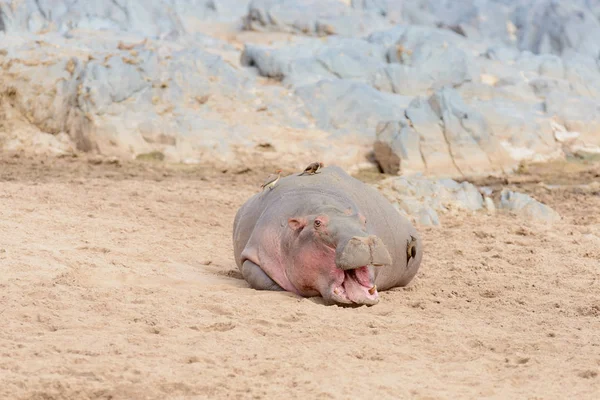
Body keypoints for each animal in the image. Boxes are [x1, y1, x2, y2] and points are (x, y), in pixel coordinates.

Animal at [230, 166, 422, 306]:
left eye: (363, 219)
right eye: (317, 223)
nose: (365, 240)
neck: (325, 207)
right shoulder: (256, 254)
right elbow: (258, 276)